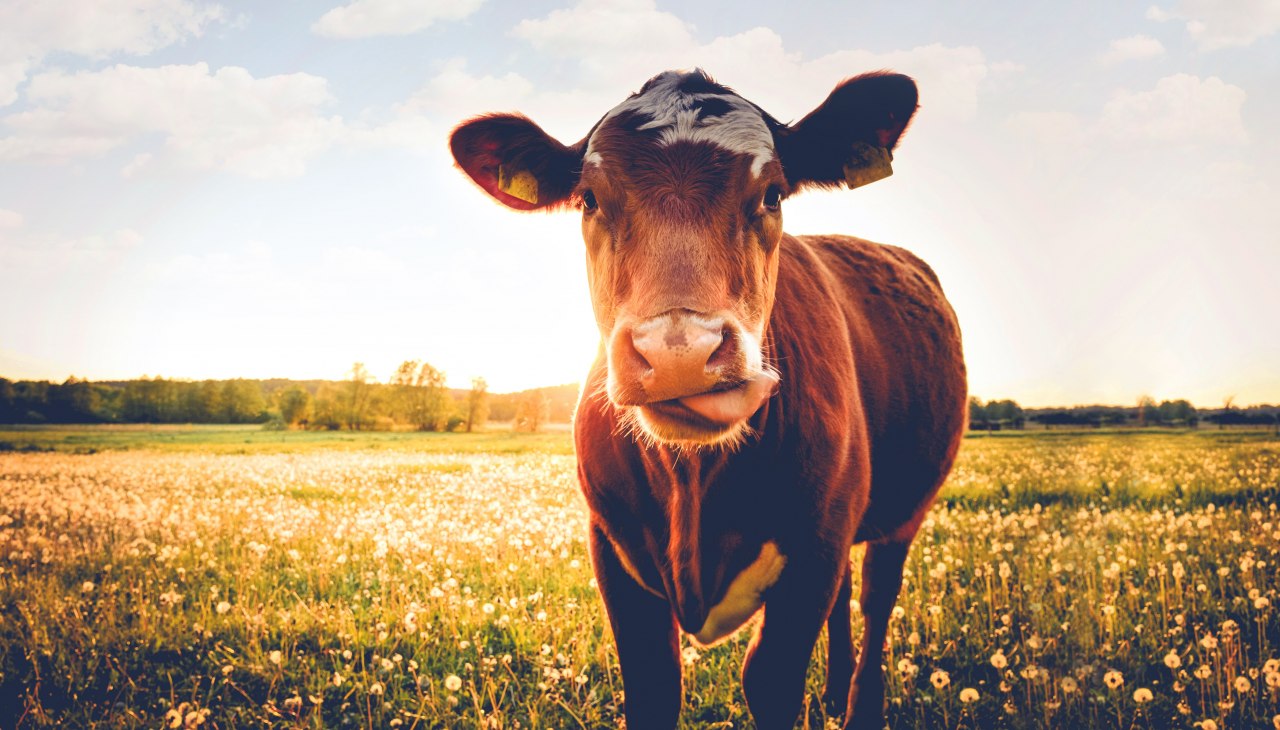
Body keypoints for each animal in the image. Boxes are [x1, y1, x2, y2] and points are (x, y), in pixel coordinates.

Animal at [450, 69, 967, 729]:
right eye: (588, 198)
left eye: (773, 195)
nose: (680, 350)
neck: (693, 483)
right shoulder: (612, 549)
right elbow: (654, 685)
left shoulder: (814, 550)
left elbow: (768, 677)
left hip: (905, 509)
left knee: (877, 597)